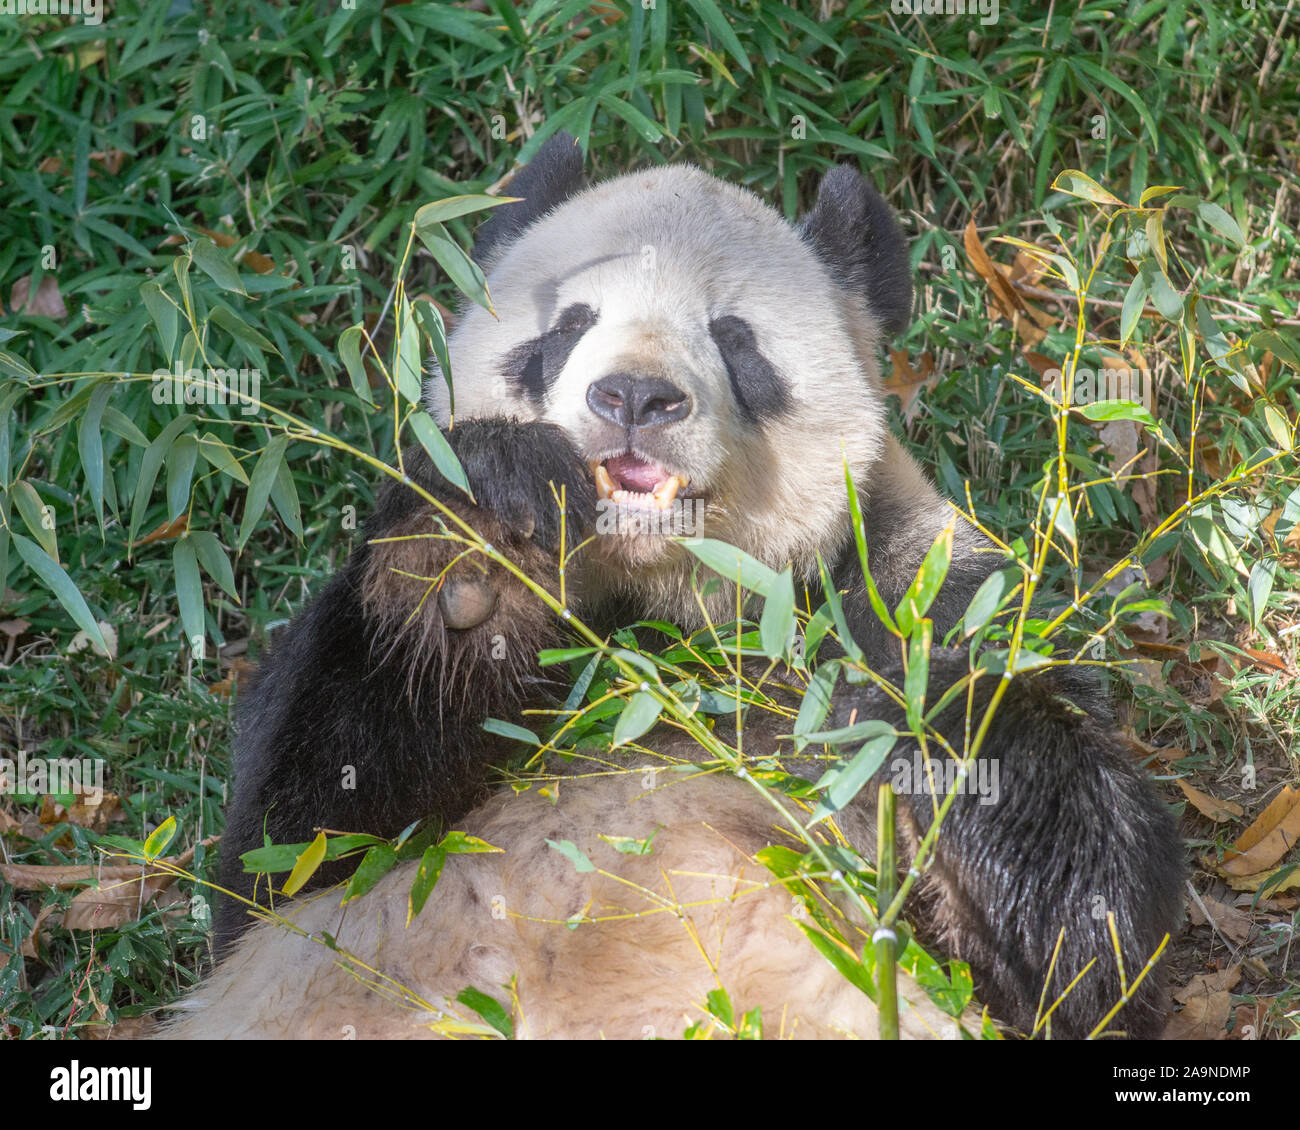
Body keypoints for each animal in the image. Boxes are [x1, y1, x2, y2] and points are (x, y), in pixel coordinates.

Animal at [159, 134, 1180, 1040]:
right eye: (567, 326)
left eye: (734, 338)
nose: (636, 398)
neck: (660, 611)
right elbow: (302, 849)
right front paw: (477, 561)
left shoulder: (905, 577)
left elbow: (1079, 943)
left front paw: (907, 703)